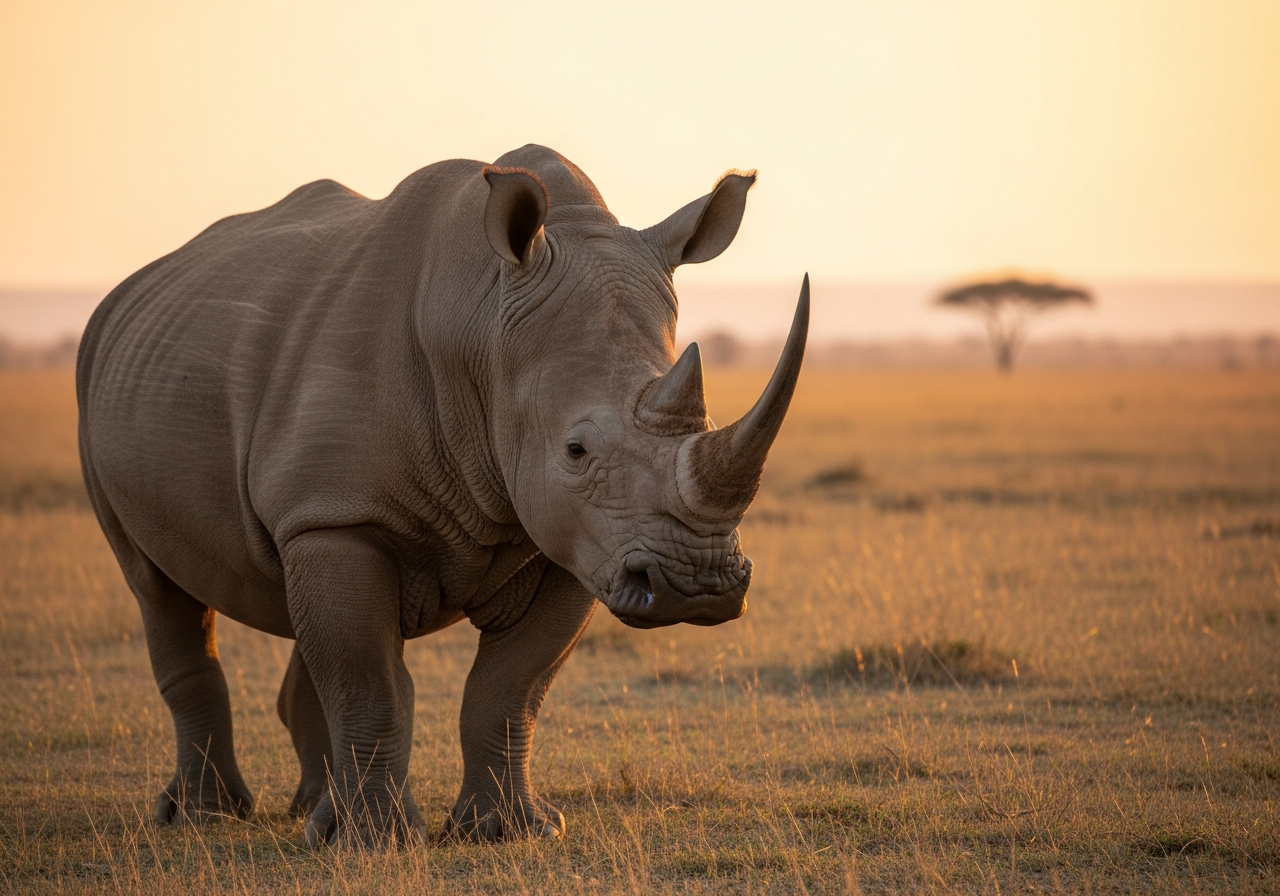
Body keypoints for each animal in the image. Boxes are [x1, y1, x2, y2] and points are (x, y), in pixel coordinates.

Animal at [76, 144, 808, 846]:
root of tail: (131, 289)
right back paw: (207, 817)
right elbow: (369, 682)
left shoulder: (576, 540)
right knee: (158, 589)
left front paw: (509, 830)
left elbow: (511, 687)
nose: (697, 585)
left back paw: (311, 812)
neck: (484, 330)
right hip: (99, 384)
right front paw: (375, 842)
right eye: (575, 451)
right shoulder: (342, 517)